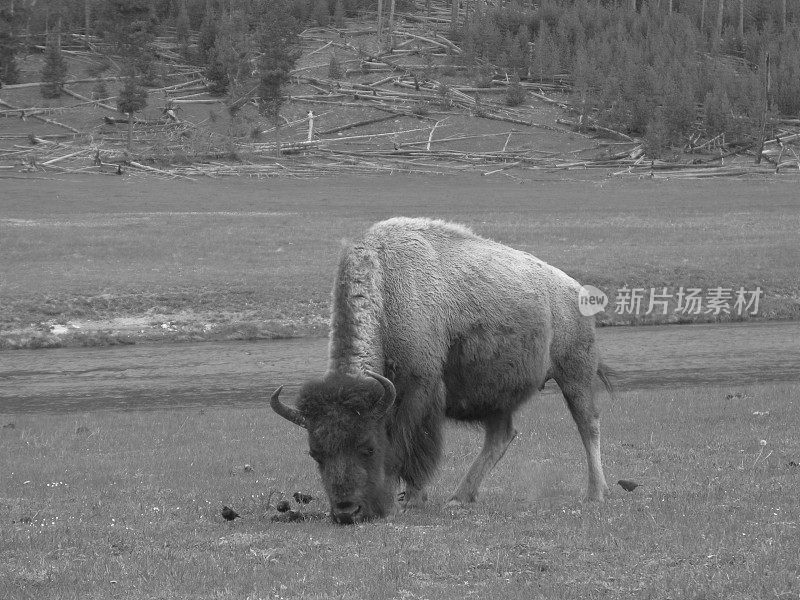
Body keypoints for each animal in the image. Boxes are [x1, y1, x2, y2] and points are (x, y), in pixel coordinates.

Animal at [270, 218, 612, 524]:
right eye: (316, 454)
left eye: (368, 447)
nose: (346, 511)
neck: (388, 288)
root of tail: (576, 289)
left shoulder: (418, 389)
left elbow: (408, 446)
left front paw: (408, 501)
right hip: (500, 396)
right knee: (500, 437)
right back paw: (459, 498)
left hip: (574, 375)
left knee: (589, 425)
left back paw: (596, 494)